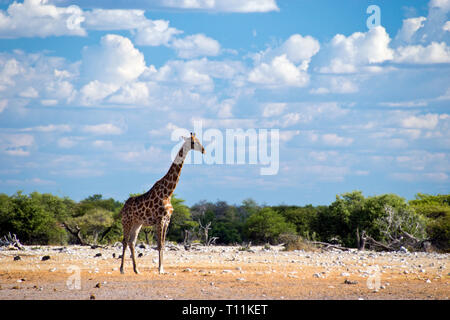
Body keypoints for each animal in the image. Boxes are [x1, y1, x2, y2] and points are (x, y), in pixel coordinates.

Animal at [119, 132, 204, 276]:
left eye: (198, 140)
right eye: (193, 142)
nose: (203, 150)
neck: (168, 193)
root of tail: (123, 207)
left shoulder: (167, 220)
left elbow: (163, 244)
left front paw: (162, 269)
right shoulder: (160, 220)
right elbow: (159, 245)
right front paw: (160, 269)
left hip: (137, 223)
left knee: (132, 242)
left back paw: (137, 270)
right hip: (127, 221)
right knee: (124, 241)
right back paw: (122, 269)